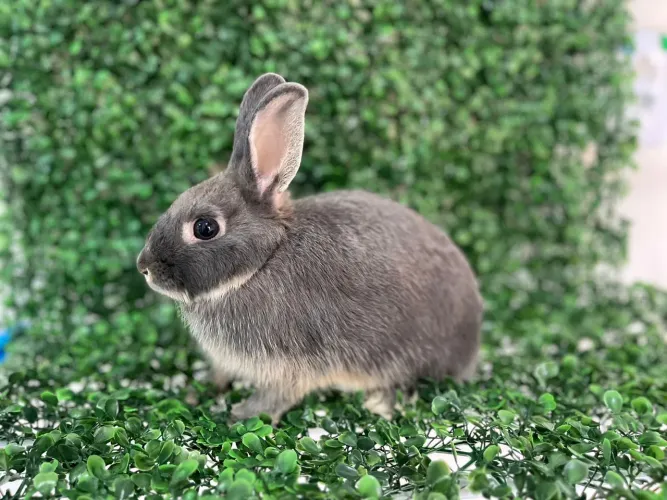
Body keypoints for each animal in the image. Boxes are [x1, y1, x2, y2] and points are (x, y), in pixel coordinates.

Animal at [136, 73, 483, 425]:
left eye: (204, 228)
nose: (144, 267)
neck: (261, 263)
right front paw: (200, 392)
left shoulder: (292, 361)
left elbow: (279, 395)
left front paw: (242, 415)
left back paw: (381, 403)